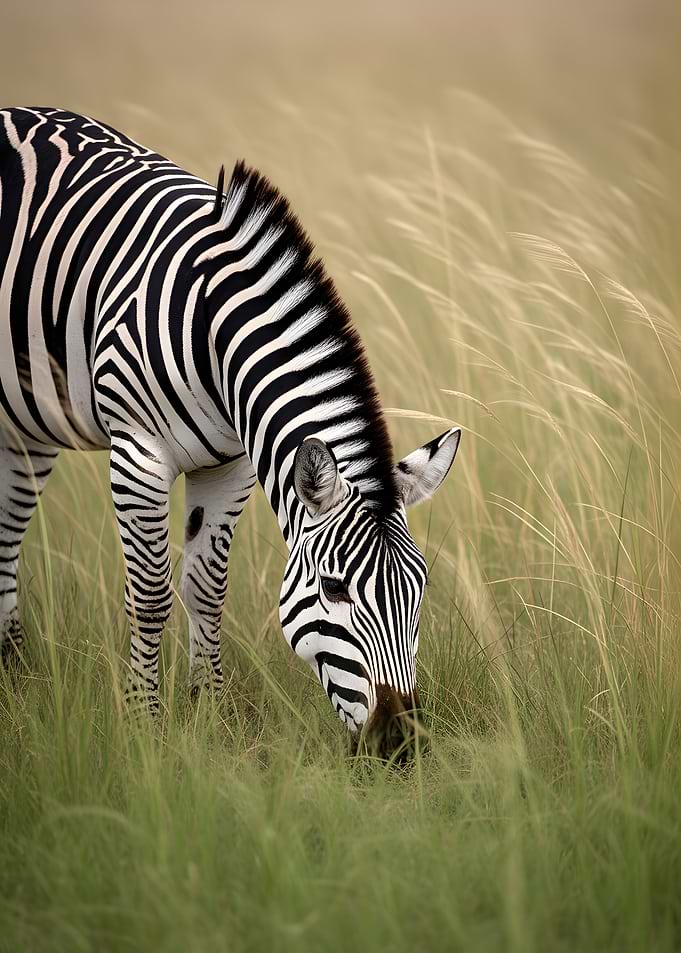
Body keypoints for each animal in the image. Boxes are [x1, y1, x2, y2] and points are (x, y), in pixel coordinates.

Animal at [0, 106, 461, 753]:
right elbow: (151, 594)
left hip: (30, 420)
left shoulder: (230, 465)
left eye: (419, 592)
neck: (216, 335)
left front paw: (210, 715)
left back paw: (12, 678)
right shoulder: (138, 453)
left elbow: (205, 588)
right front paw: (146, 727)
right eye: (335, 589)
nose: (400, 744)